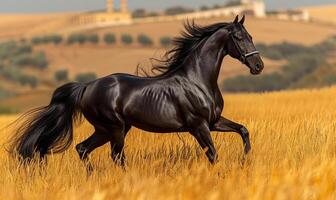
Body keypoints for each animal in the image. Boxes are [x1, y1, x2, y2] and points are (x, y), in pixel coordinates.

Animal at [11, 15, 262, 168]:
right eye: (238, 37)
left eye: (250, 36)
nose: (258, 66)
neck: (197, 80)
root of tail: (86, 87)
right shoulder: (198, 126)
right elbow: (213, 154)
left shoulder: (214, 121)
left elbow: (243, 130)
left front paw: (245, 161)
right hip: (114, 128)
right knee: (116, 156)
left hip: (108, 129)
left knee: (83, 148)